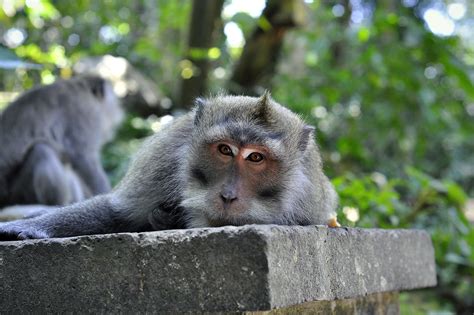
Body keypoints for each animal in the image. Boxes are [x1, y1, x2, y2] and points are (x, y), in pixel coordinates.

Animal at [0, 75, 124, 211]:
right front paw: (104, 193)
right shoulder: (86, 112)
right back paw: (55, 204)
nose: (119, 108)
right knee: (42, 150)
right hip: (17, 194)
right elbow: (82, 156)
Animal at [0, 92, 338, 241]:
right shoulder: (163, 161)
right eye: (225, 150)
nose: (228, 195)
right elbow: (117, 212)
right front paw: (30, 227)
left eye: (256, 157)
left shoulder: (311, 204)